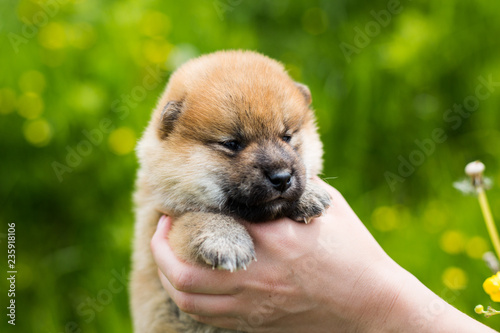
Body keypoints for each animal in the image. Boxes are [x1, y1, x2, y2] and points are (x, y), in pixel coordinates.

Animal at [131, 50, 330, 330]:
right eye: (232, 144)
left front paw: (309, 194)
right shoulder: (157, 219)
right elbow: (196, 217)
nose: (282, 178)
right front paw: (225, 240)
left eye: (287, 137)